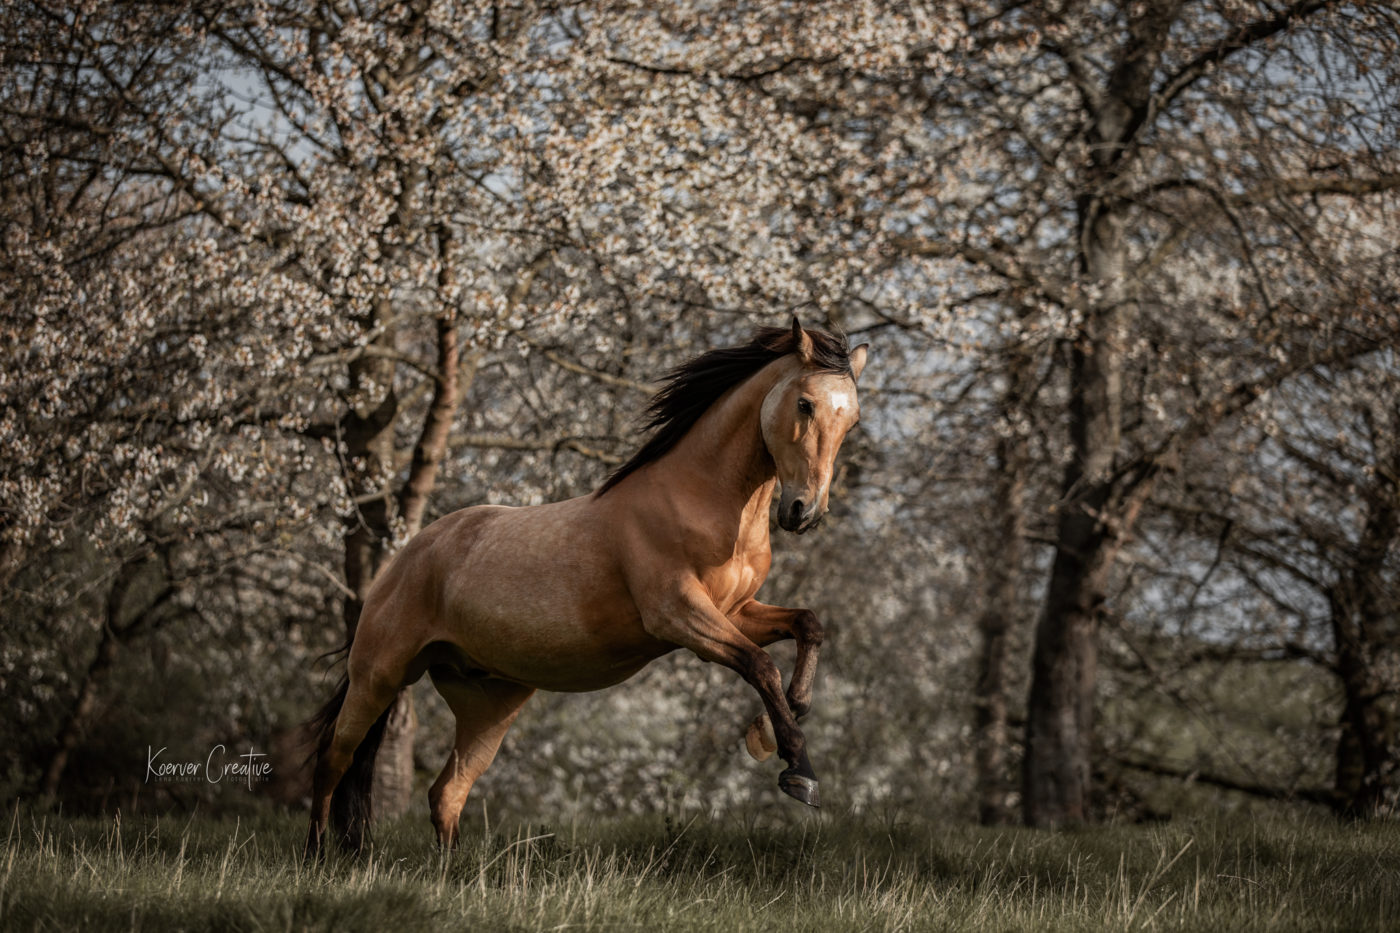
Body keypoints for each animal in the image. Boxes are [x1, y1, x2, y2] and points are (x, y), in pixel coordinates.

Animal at [305, 318, 869, 855]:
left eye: (853, 419)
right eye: (805, 403)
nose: (803, 511)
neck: (699, 500)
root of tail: (403, 558)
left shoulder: (735, 610)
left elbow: (808, 626)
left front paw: (781, 722)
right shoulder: (679, 615)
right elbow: (760, 664)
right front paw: (798, 770)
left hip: (488, 703)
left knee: (446, 792)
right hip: (379, 675)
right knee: (334, 759)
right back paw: (318, 855)